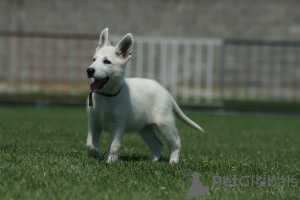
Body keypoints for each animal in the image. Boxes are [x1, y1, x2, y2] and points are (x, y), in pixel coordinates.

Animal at [85, 28, 205, 163]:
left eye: (107, 62)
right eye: (94, 59)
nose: (89, 70)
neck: (106, 95)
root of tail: (166, 92)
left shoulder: (118, 125)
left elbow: (113, 146)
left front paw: (110, 161)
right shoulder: (94, 122)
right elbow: (90, 144)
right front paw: (95, 157)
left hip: (164, 123)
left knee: (176, 141)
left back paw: (173, 161)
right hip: (144, 127)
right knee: (157, 144)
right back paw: (153, 160)